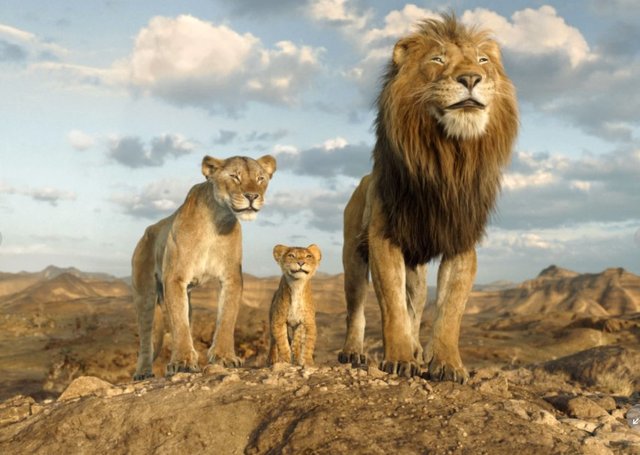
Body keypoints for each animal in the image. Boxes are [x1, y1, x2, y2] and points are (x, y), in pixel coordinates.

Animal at [131, 154, 276, 380]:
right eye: (235, 176)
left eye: (260, 178)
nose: (252, 196)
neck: (217, 221)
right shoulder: (175, 277)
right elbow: (179, 324)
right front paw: (182, 362)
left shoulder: (231, 277)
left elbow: (226, 317)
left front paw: (224, 356)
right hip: (145, 294)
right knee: (147, 336)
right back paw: (143, 372)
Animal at [337, 14, 518, 382]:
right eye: (437, 59)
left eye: (483, 60)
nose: (471, 78)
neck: (448, 158)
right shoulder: (384, 238)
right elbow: (392, 307)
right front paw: (399, 359)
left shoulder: (461, 241)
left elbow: (449, 311)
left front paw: (447, 365)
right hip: (353, 256)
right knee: (356, 308)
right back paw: (353, 352)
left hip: (416, 271)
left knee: (416, 306)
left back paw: (417, 349)